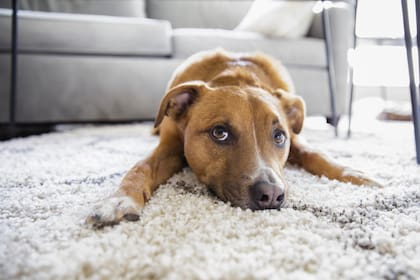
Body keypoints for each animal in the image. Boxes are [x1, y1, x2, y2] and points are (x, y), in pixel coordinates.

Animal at [85, 49, 380, 229]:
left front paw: (354, 174)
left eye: (279, 137)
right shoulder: (169, 146)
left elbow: (317, 153)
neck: (236, 79)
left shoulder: (296, 140)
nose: (272, 195)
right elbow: (141, 167)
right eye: (220, 133)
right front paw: (119, 200)